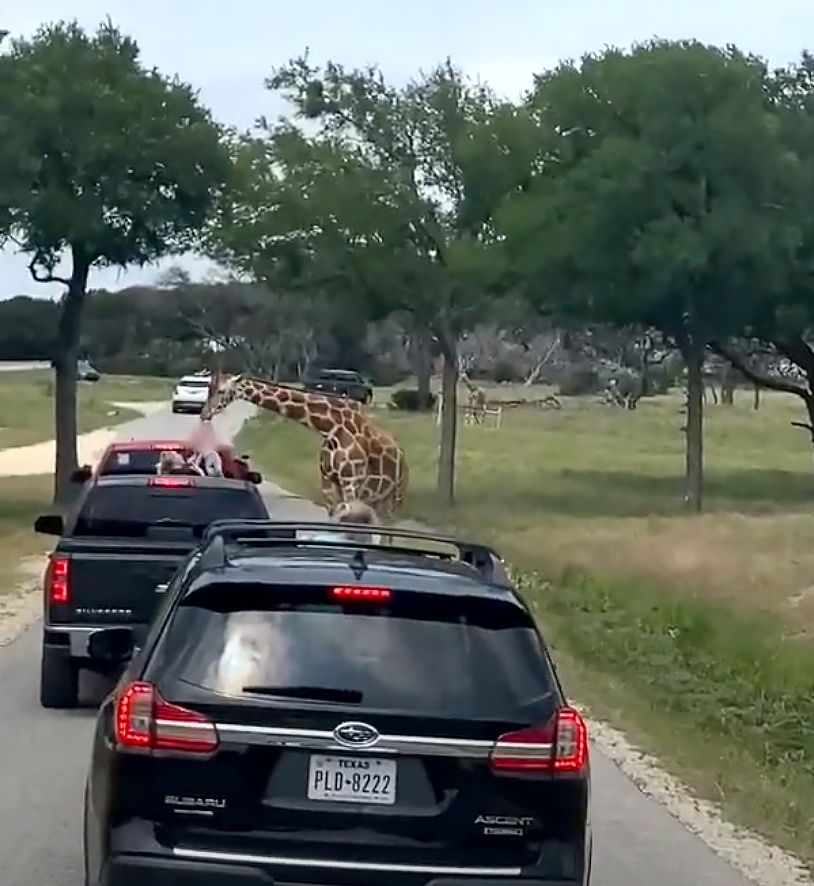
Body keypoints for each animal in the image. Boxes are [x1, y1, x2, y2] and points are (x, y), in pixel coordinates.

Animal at [203, 372, 408, 520]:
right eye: (209, 389)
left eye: (221, 391)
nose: (204, 413)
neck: (330, 428)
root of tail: (402, 458)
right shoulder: (328, 483)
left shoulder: (351, 483)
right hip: (378, 499)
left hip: (396, 496)